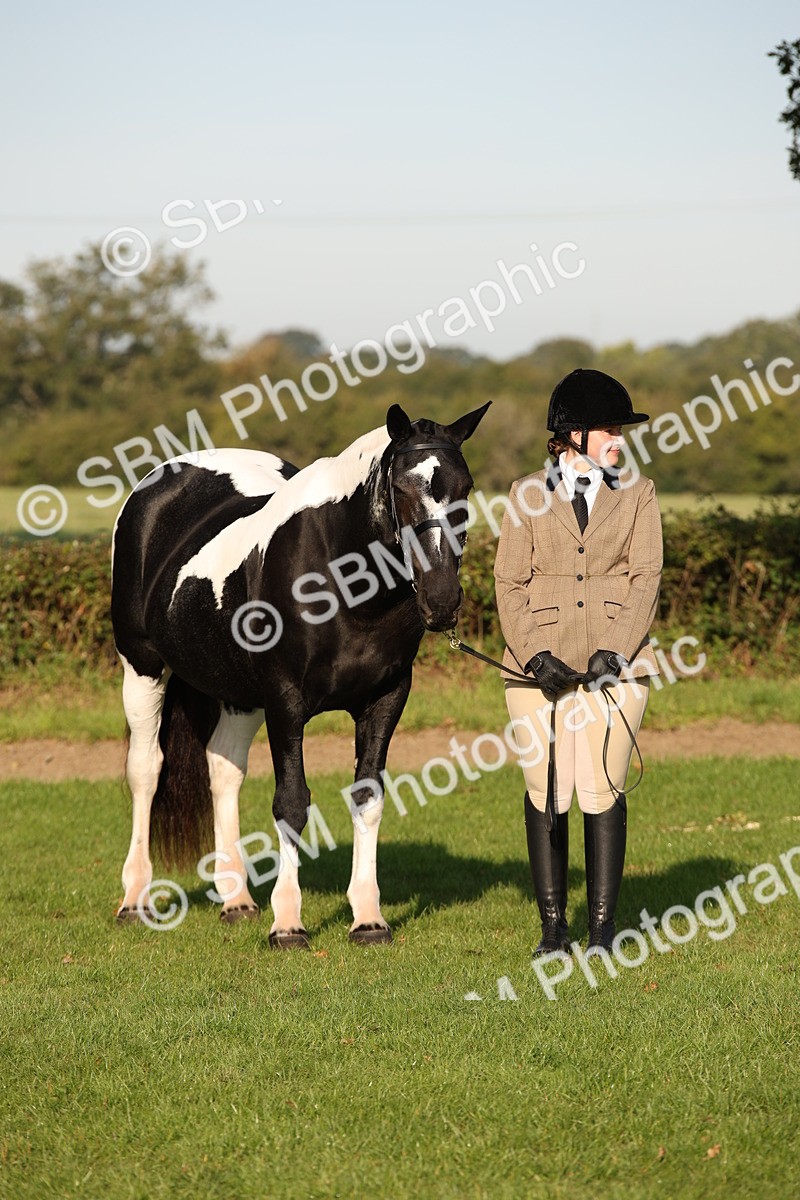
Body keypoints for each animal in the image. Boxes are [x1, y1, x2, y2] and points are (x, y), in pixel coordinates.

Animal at [111, 400, 490, 947]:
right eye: (401, 487)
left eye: (466, 486)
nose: (441, 600)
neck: (343, 585)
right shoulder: (285, 700)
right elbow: (291, 802)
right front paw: (288, 923)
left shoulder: (385, 699)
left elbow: (368, 797)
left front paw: (368, 918)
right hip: (142, 667)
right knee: (146, 769)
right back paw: (135, 898)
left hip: (239, 694)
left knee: (224, 768)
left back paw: (236, 899)